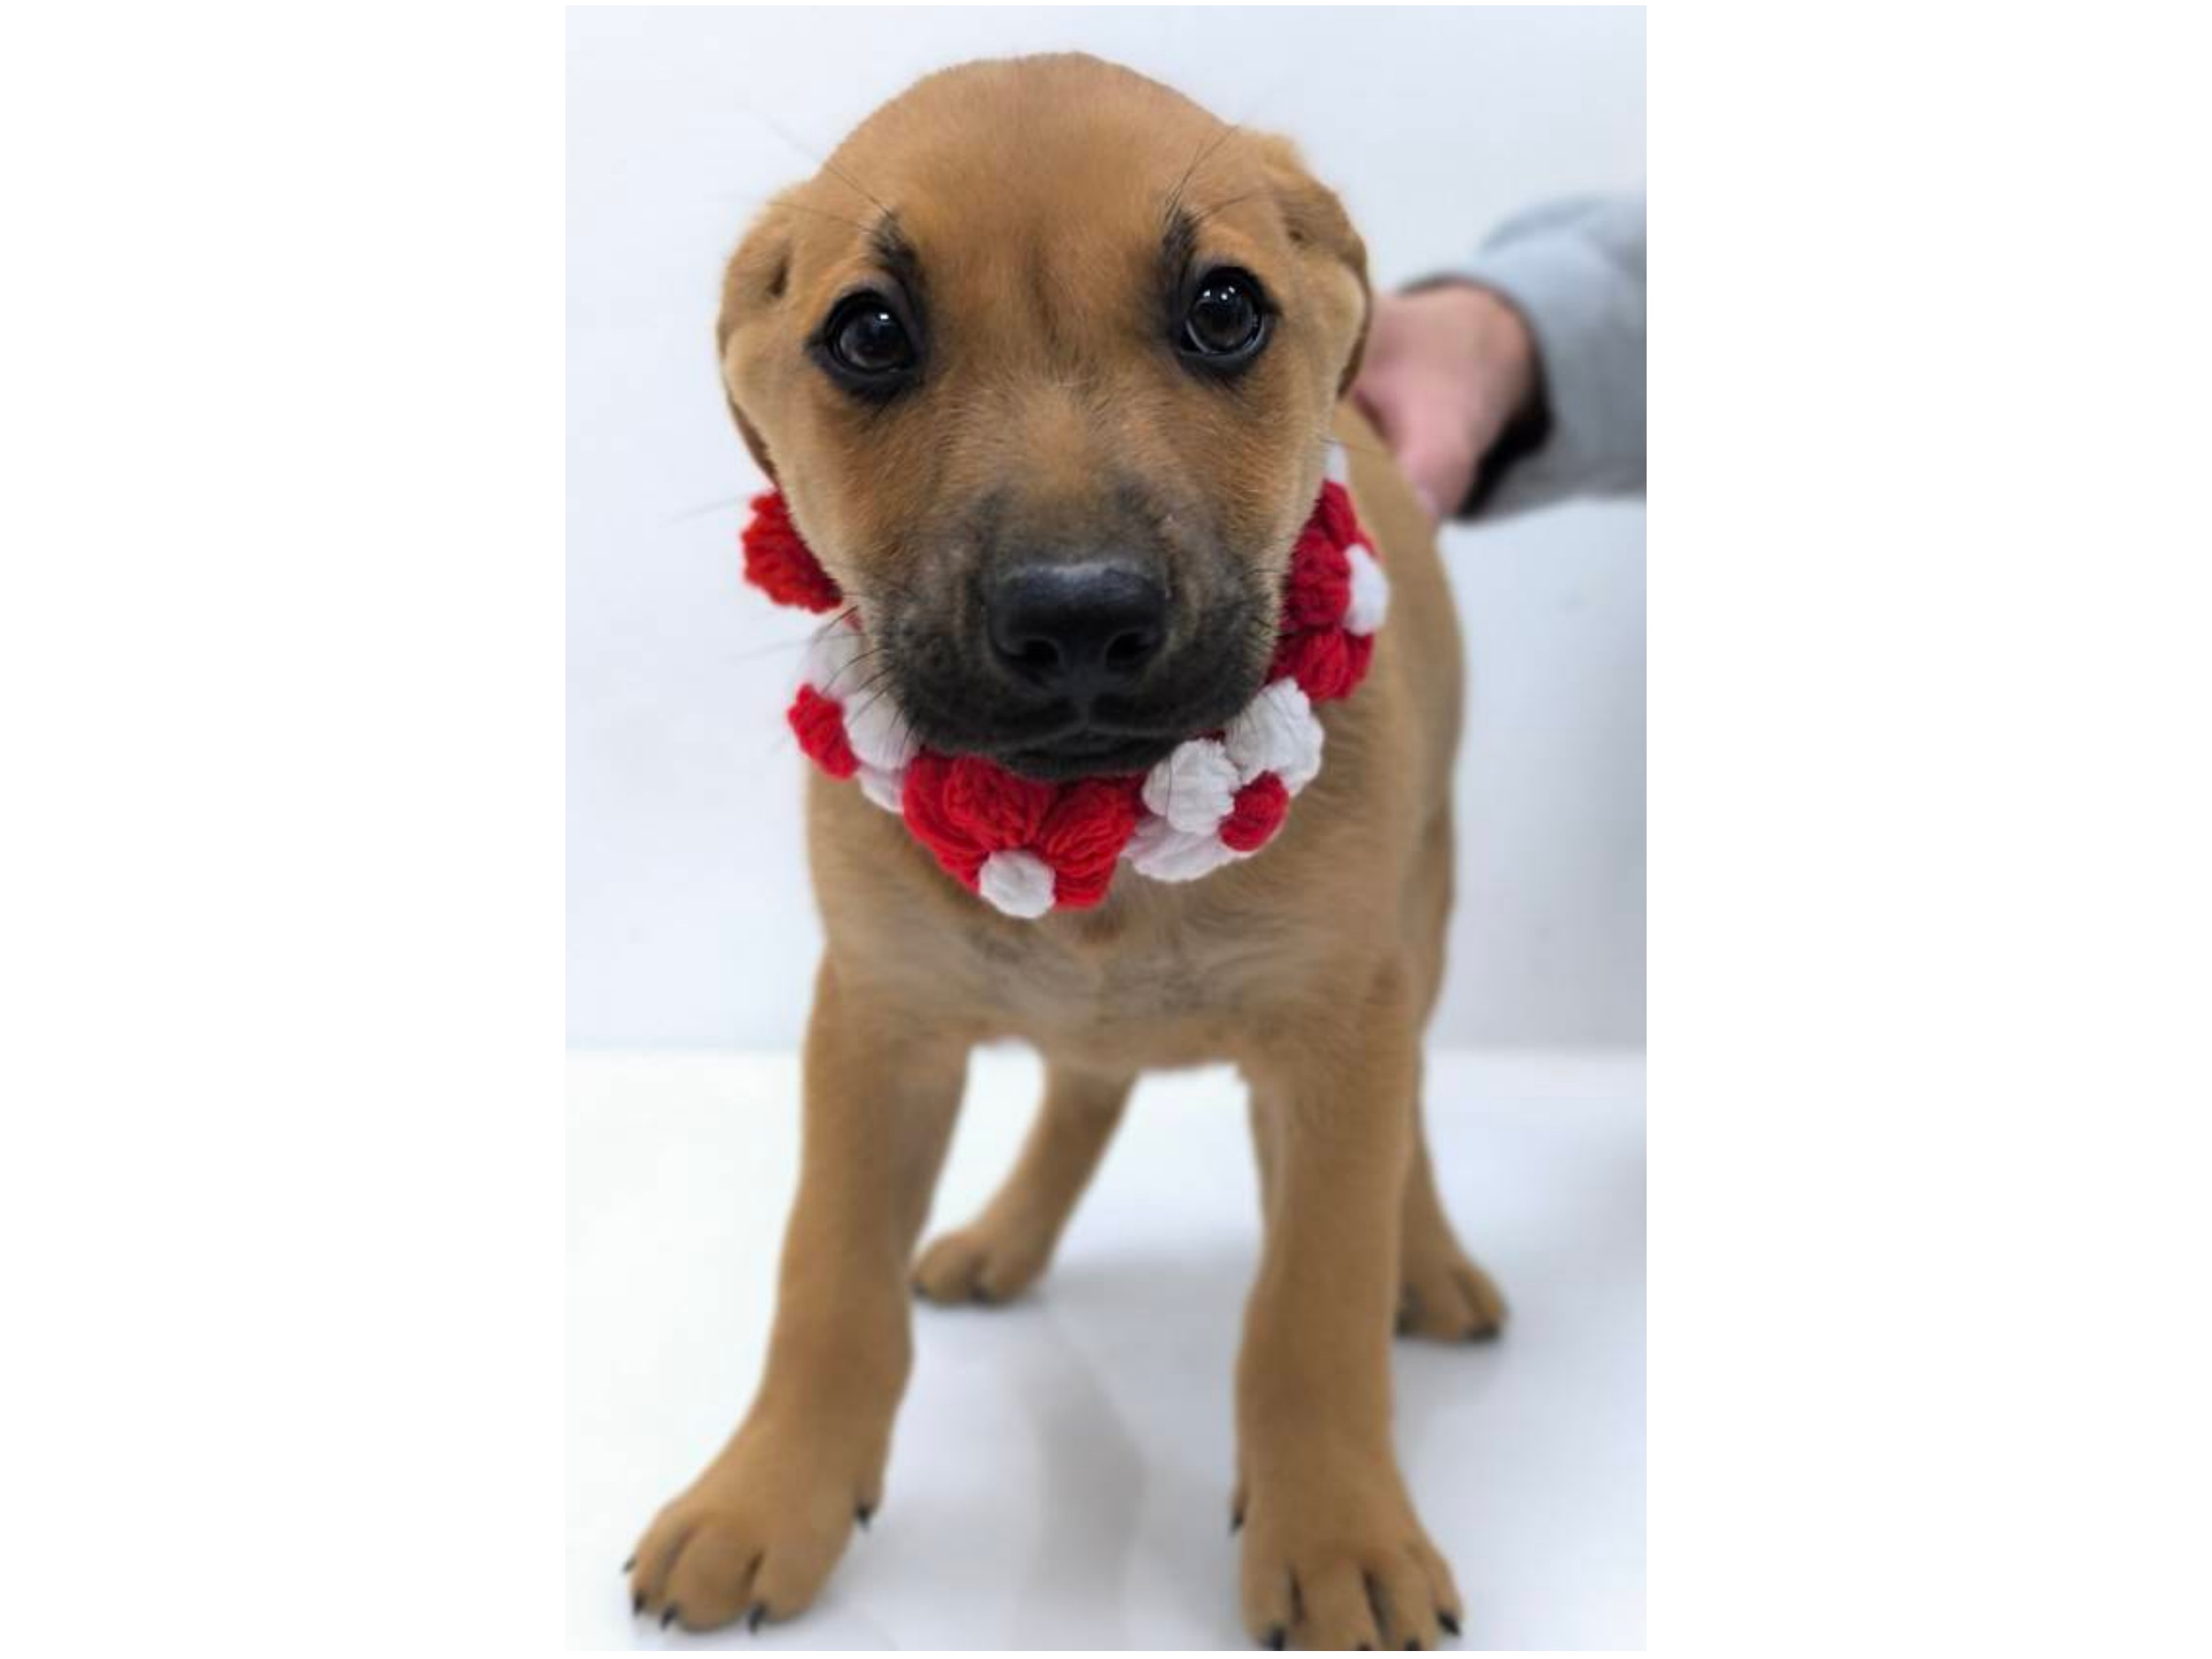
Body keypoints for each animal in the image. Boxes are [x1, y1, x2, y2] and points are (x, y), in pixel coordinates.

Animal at [627, 54, 1506, 1650]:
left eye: (1225, 308)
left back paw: (1432, 1262)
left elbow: (1314, 1304)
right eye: (868, 332)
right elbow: (827, 1285)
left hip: (1421, 927)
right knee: (1086, 1085)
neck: (1106, 828)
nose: (1081, 614)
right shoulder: (875, 1020)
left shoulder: (1341, 1027)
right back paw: (1003, 1237)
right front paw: (765, 1497)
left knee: (1388, 1143)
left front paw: (1338, 1529)